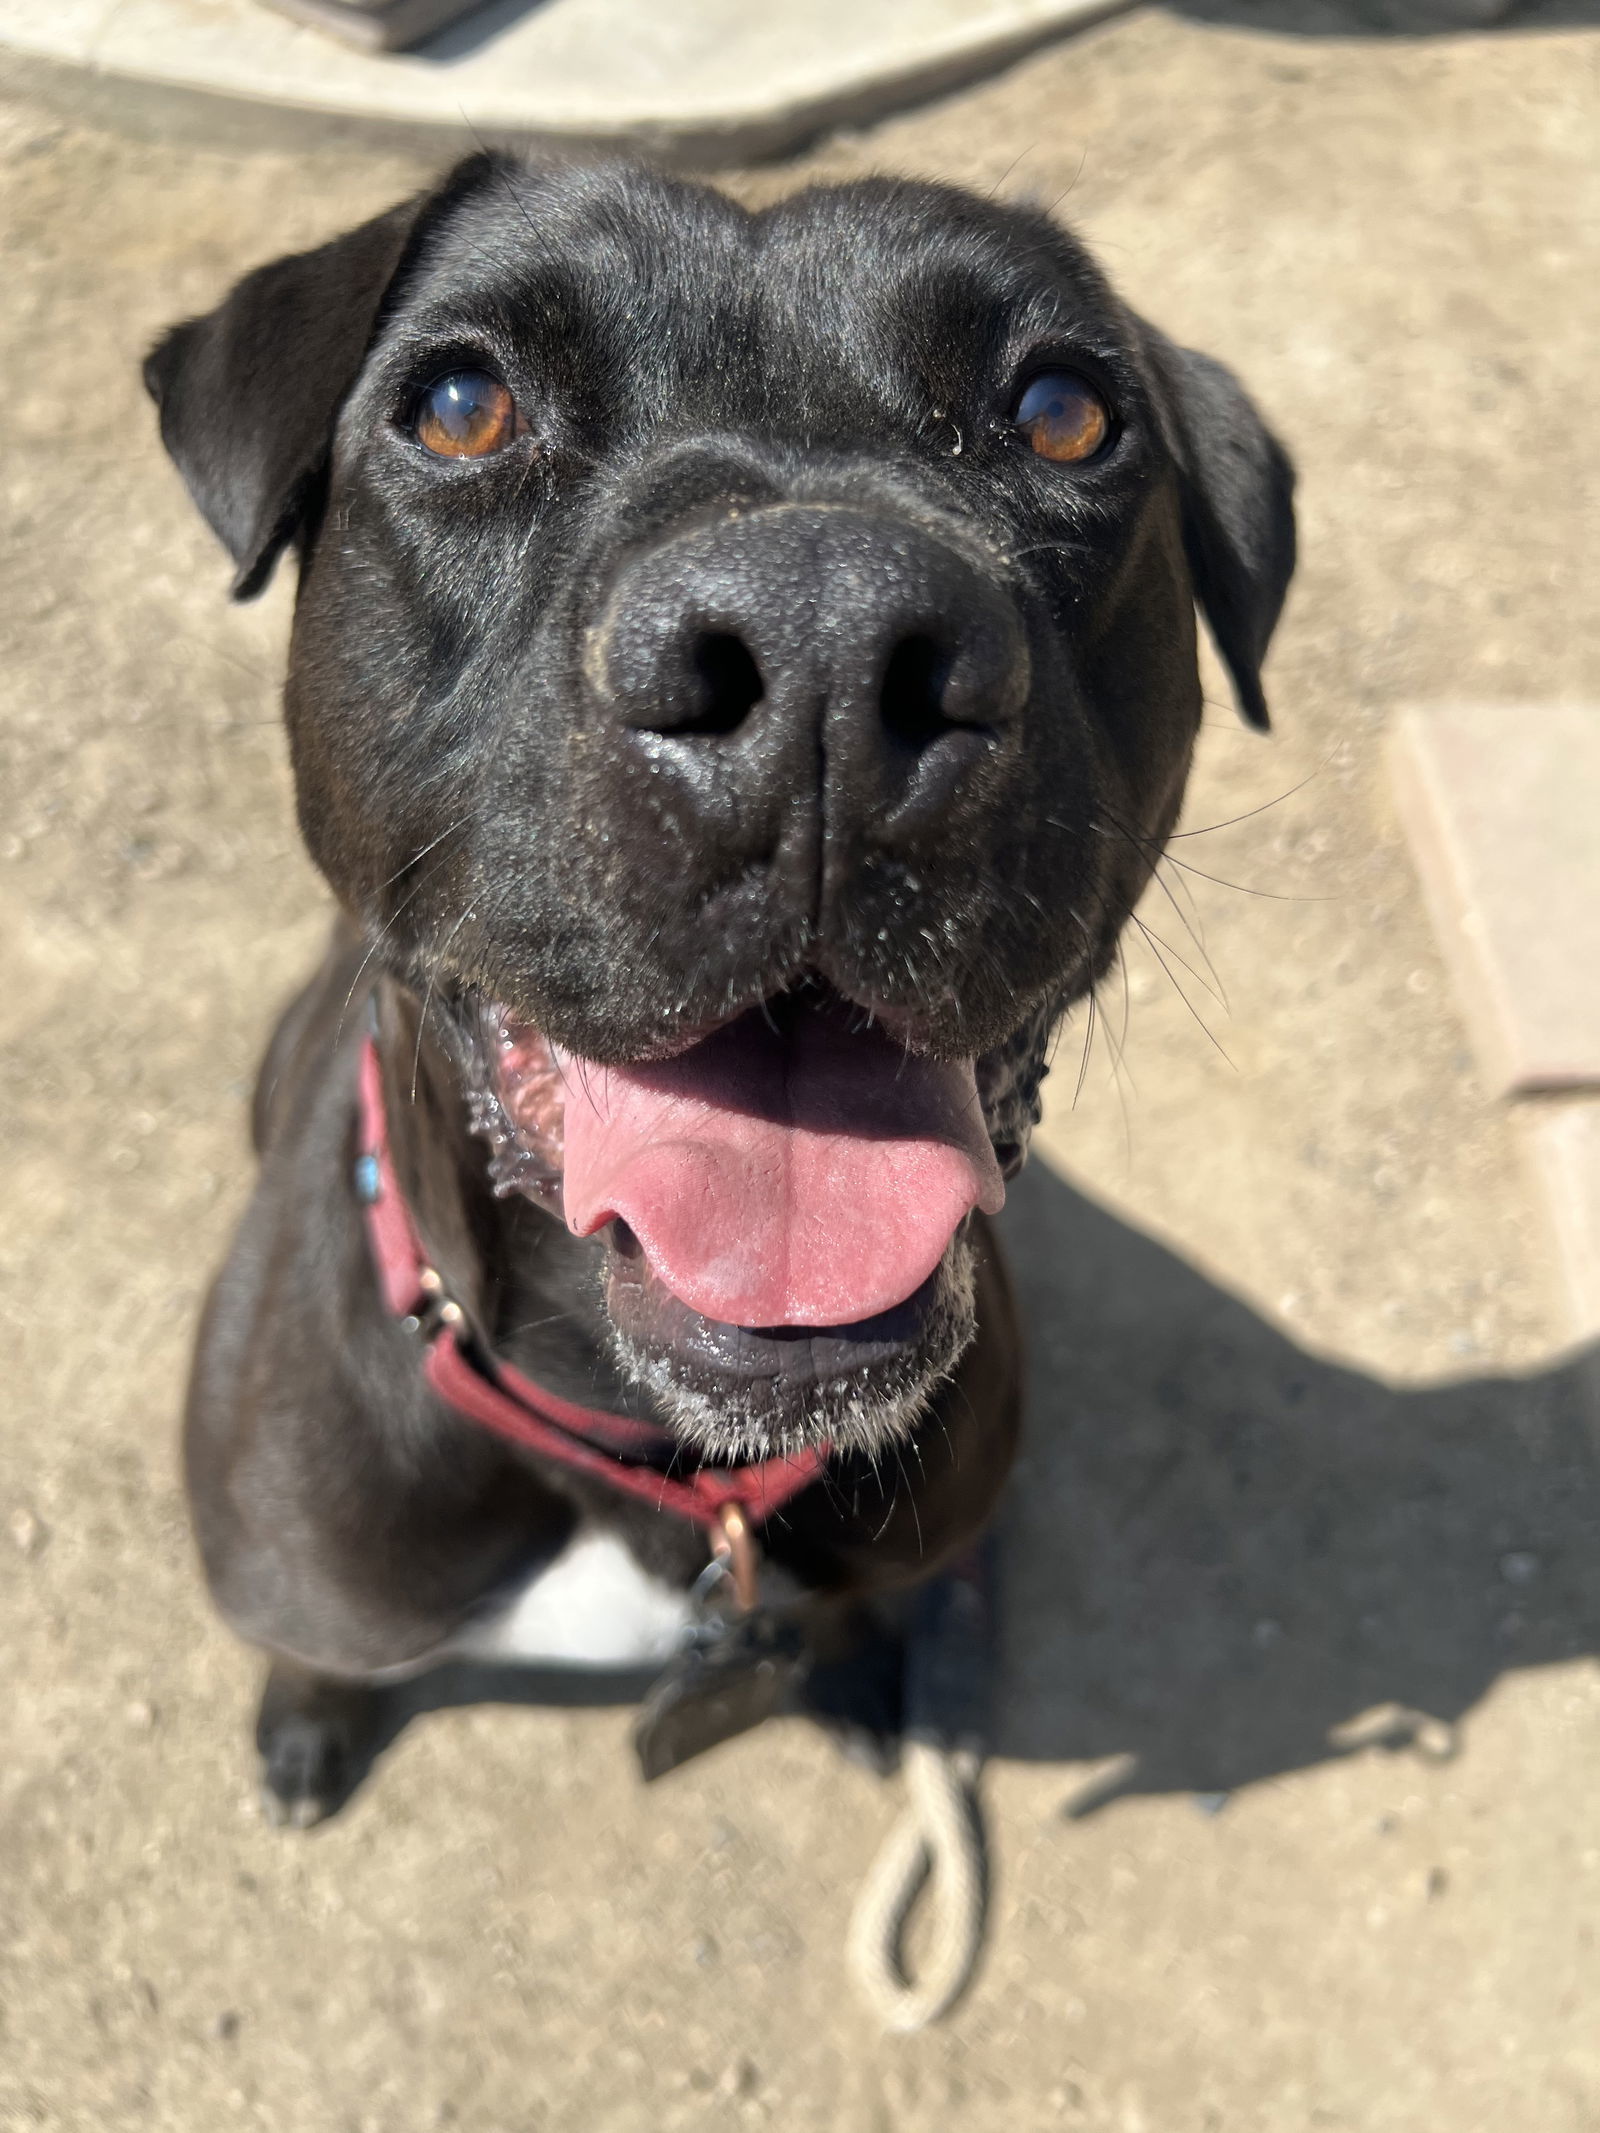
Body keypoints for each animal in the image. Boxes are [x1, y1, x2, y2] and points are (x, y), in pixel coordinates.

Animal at [147, 154, 1305, 1817]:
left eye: (1064, 411)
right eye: (459, 405)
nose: (826, 637)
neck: (650, 1442)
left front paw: (871, 1679)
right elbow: (318, 1651)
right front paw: (307, 1721)